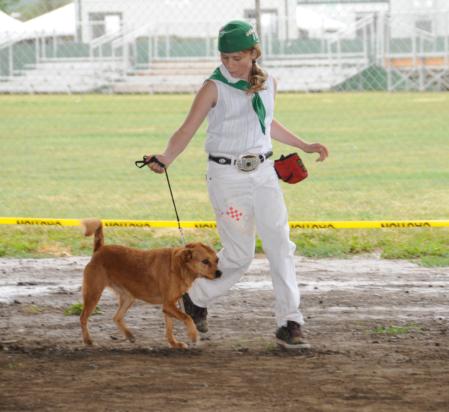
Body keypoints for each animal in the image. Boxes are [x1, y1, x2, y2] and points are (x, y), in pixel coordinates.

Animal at [79, 219, 221, 348]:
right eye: (205, 261)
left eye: (217, 260)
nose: (220, 273)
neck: (178, 266)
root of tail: (99, 250)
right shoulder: (168, 305)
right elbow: (187, 318)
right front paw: (193, 336)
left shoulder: (169, 306)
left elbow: (170, 328)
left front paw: (174, 343)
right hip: (93, 294)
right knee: (83, 317)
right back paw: (88, 340)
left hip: (128, 298)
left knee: (116, 317)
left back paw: (129, 335)